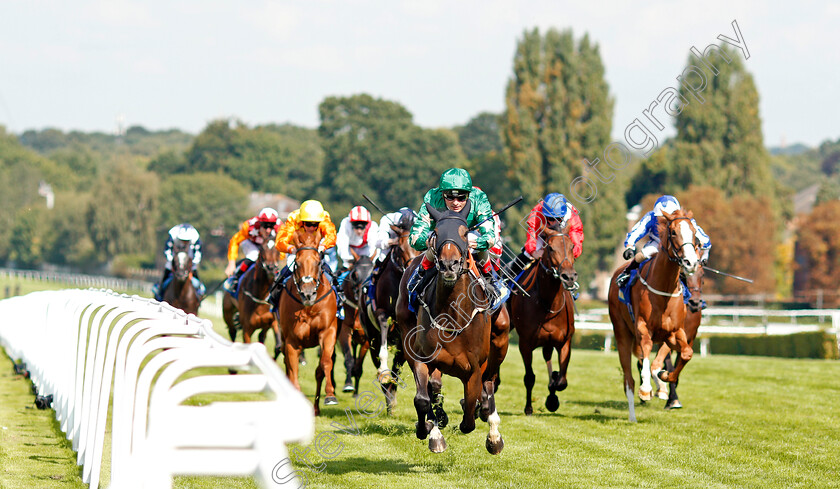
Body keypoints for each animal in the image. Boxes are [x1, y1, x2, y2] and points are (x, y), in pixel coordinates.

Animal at [278, 227, 340, 414]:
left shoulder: (328, 332)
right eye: (297, 263)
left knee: (319, 371)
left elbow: (326, 363)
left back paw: (316, 408)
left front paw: (330, 395)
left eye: (318, 262)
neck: (309, 308)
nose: (308, 294)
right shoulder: (292, 340)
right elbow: (293, 370)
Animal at [396, 202, 506, 454]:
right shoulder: (421, 356)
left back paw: (494, 433)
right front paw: (429, 430)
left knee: (490, 382)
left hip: (499, 342)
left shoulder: (475, 368)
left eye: (464, 233)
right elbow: (423, 398)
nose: (449, 264)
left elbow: (470, 414)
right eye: (436, 232)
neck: (453, 315)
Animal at [512, 223, 576, 414]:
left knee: (548, 356)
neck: (549, 304)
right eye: (551, 248)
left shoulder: (565, 342)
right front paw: (528, 408)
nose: (569, 277)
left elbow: (562, 381)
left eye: (572, 247)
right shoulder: (525, 343)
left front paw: (552, 395)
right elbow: (529, 377)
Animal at [608, 208, 700, 422]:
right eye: (673, 232)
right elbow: (646, 353)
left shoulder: (675, 332)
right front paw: (646, 389)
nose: (690, 263)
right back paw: (633, 414)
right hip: (622, 332)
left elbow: (686, 353)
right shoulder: (643, 328)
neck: (664, 288)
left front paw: (665, 378)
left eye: (694, 233)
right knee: (628, 379)